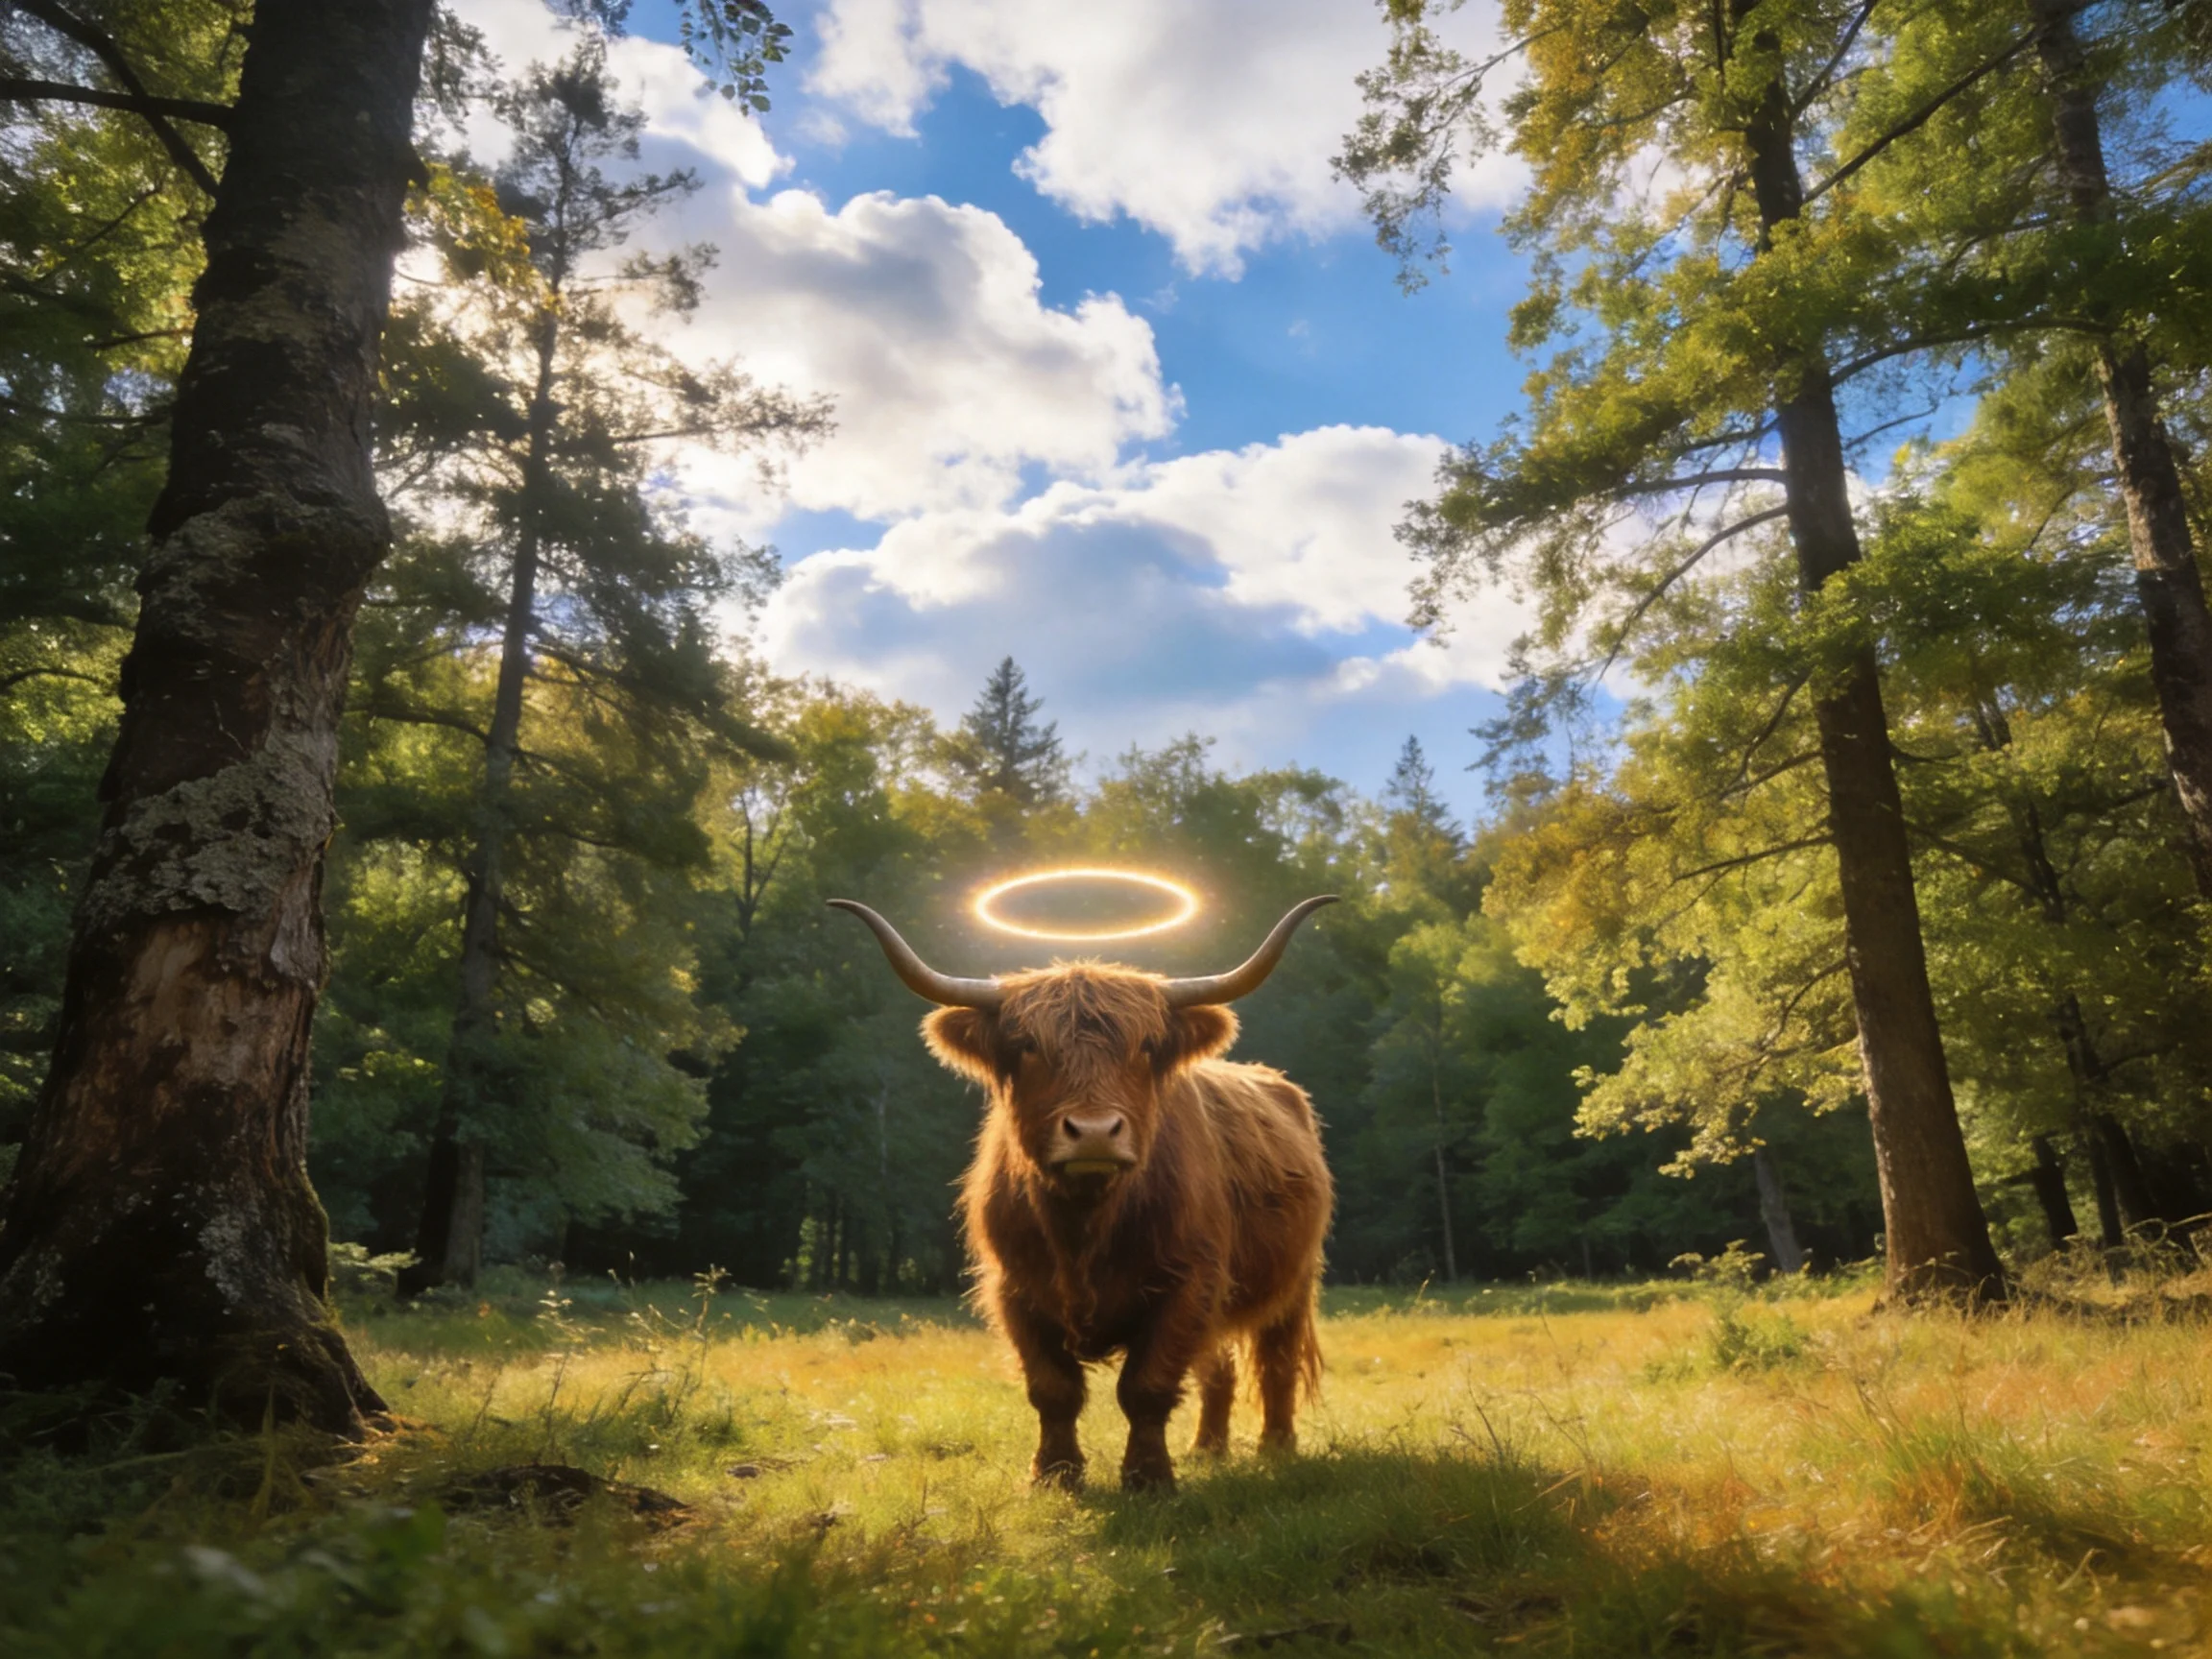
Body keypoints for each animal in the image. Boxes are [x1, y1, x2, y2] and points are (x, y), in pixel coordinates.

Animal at [829, 895, 1337, 1492]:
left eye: (1146, 1047)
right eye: (1027, 1047)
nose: (1094, 1131)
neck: (1083, 1227)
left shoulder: (1189, 1282)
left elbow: (1147, 1387)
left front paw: (1148, 1478)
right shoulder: (1014, 1288)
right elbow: (1053, 1389)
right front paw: (1054, 1473)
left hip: (1294, 1281)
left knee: (1275, 1361)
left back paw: (1276, 1446)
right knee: (1220, 1369)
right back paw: (1207, 1447)